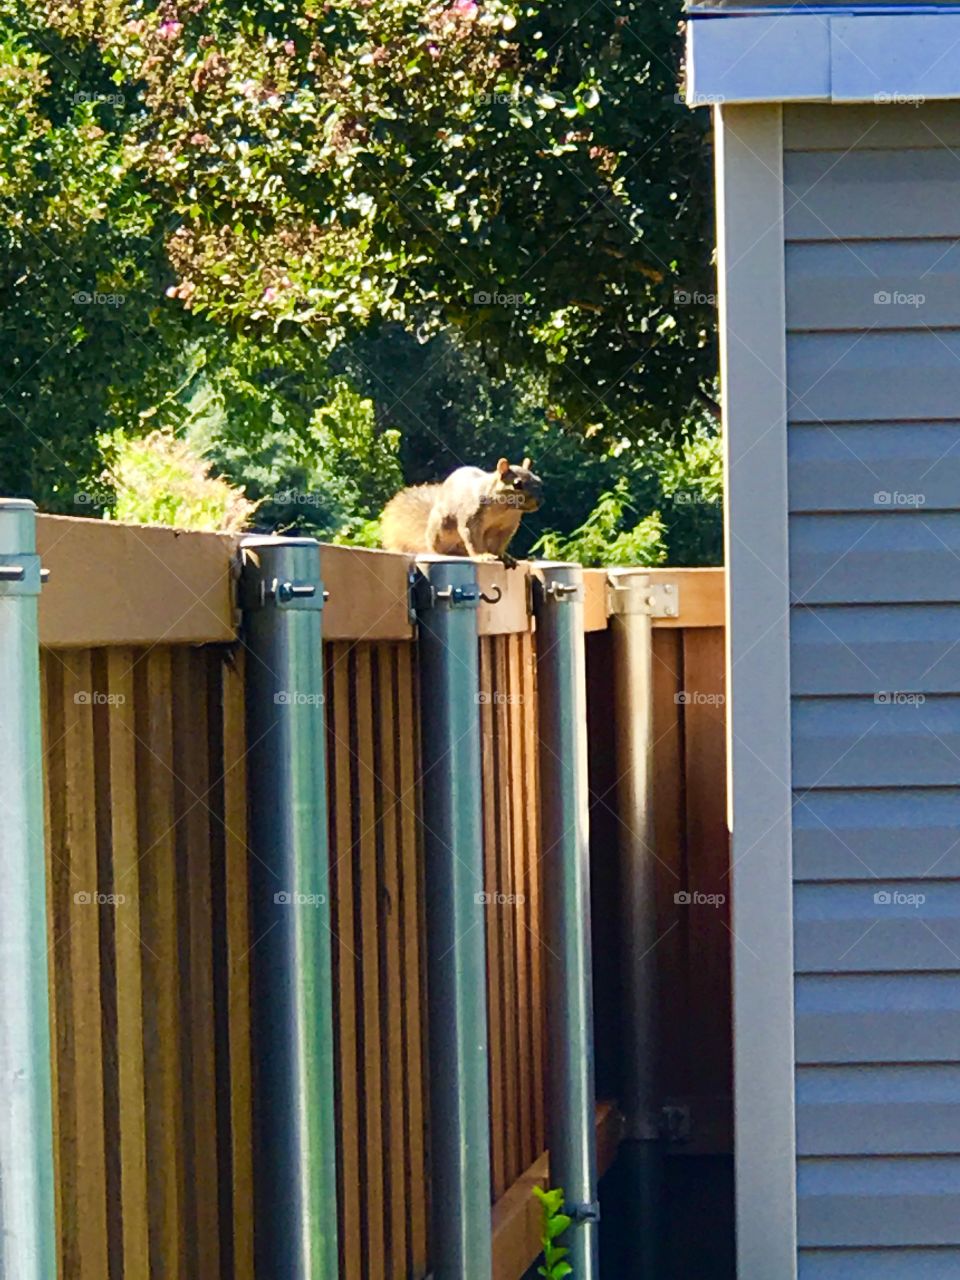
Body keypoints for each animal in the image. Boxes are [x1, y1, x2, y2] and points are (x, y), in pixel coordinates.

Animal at [380, 457, 543, 565]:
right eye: (517, 484)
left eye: (539, 481)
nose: (539, 501)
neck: (505, 510)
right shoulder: (472, 516)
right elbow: (472, 536)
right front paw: (483, 556)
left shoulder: (507, 527)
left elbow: (500, 543)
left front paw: (502, 556)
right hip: (439, 529)